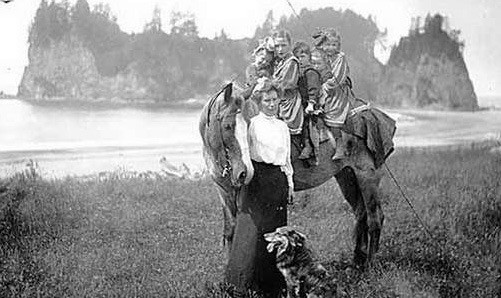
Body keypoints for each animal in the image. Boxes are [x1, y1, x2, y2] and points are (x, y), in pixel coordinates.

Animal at [199, 83, 390, 266]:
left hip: (367, 177)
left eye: (248, 125)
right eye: (227, 126)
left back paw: (370, 264)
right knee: (360, 212)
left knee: (375, 217)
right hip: (347, 176)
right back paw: (357, 260)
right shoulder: (224, 191)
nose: (244, 173)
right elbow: (230, 231)